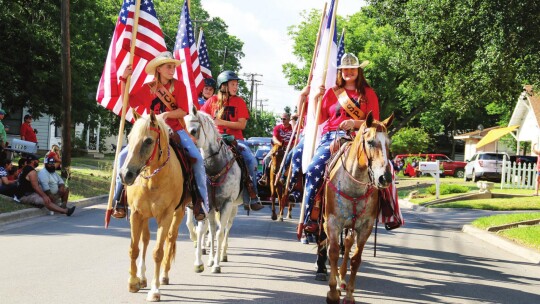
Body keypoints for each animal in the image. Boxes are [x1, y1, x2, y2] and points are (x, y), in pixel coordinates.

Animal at [119, 112, 187, 302]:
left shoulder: (165, 216)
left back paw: (163, 276)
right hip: (145, 216)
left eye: (148, 141)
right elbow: (134, 249)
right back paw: (142, 278)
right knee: (145, 239)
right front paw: (133, 282)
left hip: (178, 214)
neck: (152, 180)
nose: (125, 174)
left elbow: (158, 252)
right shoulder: (136, 214)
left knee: (170, 239)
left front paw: (155, 290)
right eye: (129, 138)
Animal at [186, 107, 245, 274]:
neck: (215, 168)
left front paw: (217, 265)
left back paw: (223, 254)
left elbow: (219, 232)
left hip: (234, 207)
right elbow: (209, 231)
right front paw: (210, 260)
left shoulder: (226, 203)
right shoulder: (209, 204)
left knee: (227, 228)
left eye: (193, 130)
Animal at [320, 112, 392, 304]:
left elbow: (355, 260)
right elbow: (333, 252)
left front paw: (349, 294)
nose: (385, 178)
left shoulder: (365, 227)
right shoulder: (333, 223)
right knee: (330, 247)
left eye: (389, 143)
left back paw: (342, 279)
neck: (353, 185)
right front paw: (332, 293)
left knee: (347, 244)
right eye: (370, 142)